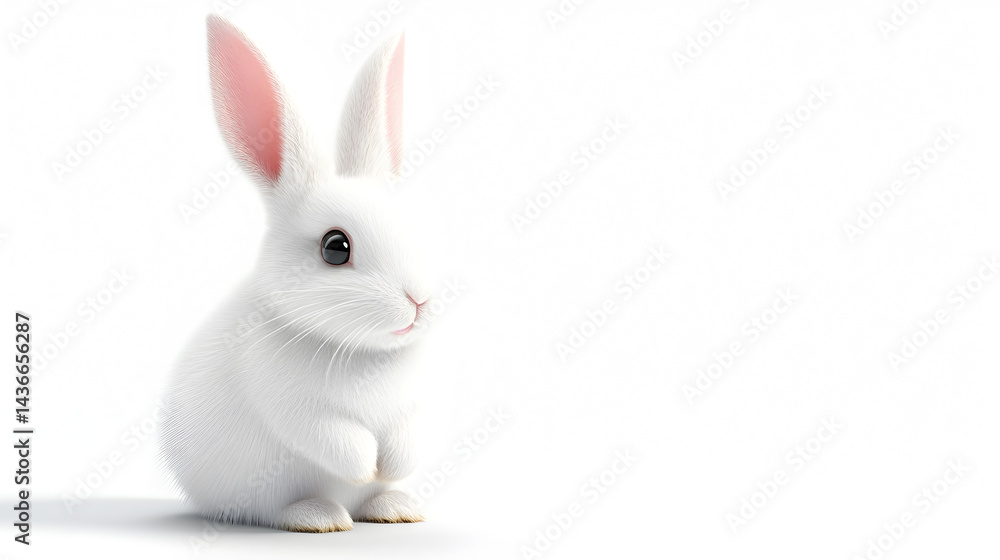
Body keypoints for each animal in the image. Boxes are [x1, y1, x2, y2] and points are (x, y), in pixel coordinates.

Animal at [159, 14, 432, 533]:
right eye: (335, 247)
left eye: (411, 228)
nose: (419, 301)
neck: (362, 352)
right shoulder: (290, 403)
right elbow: (334, 437)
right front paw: (366, 465)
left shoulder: (412, 405)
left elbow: (408, 436)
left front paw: (388, 470)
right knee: (276, 508)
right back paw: (321, 516)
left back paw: (395, 506)